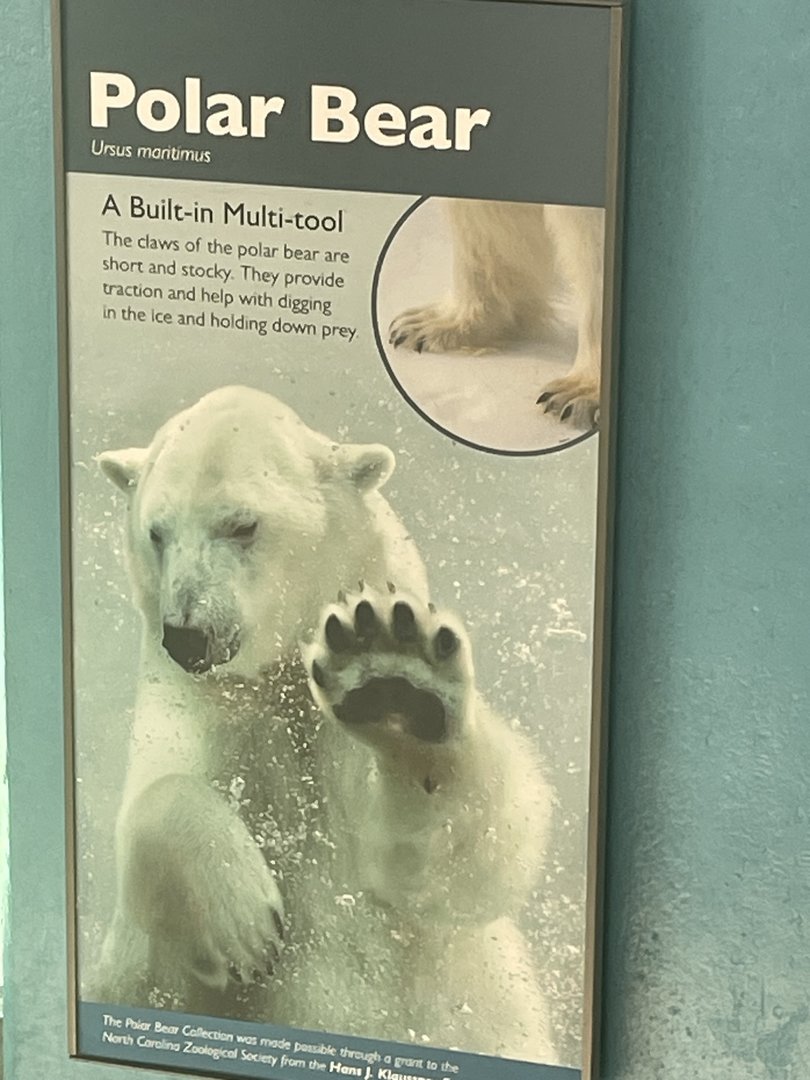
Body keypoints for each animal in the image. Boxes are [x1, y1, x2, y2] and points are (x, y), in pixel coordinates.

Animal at [91, 384, 555, 1064]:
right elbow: (155, 808)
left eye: (243, 525)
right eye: (156, 532)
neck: (277, 685)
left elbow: (452, 872)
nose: (187, 634)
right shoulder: (197, 707)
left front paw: (398, 692)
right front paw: (245, 925)